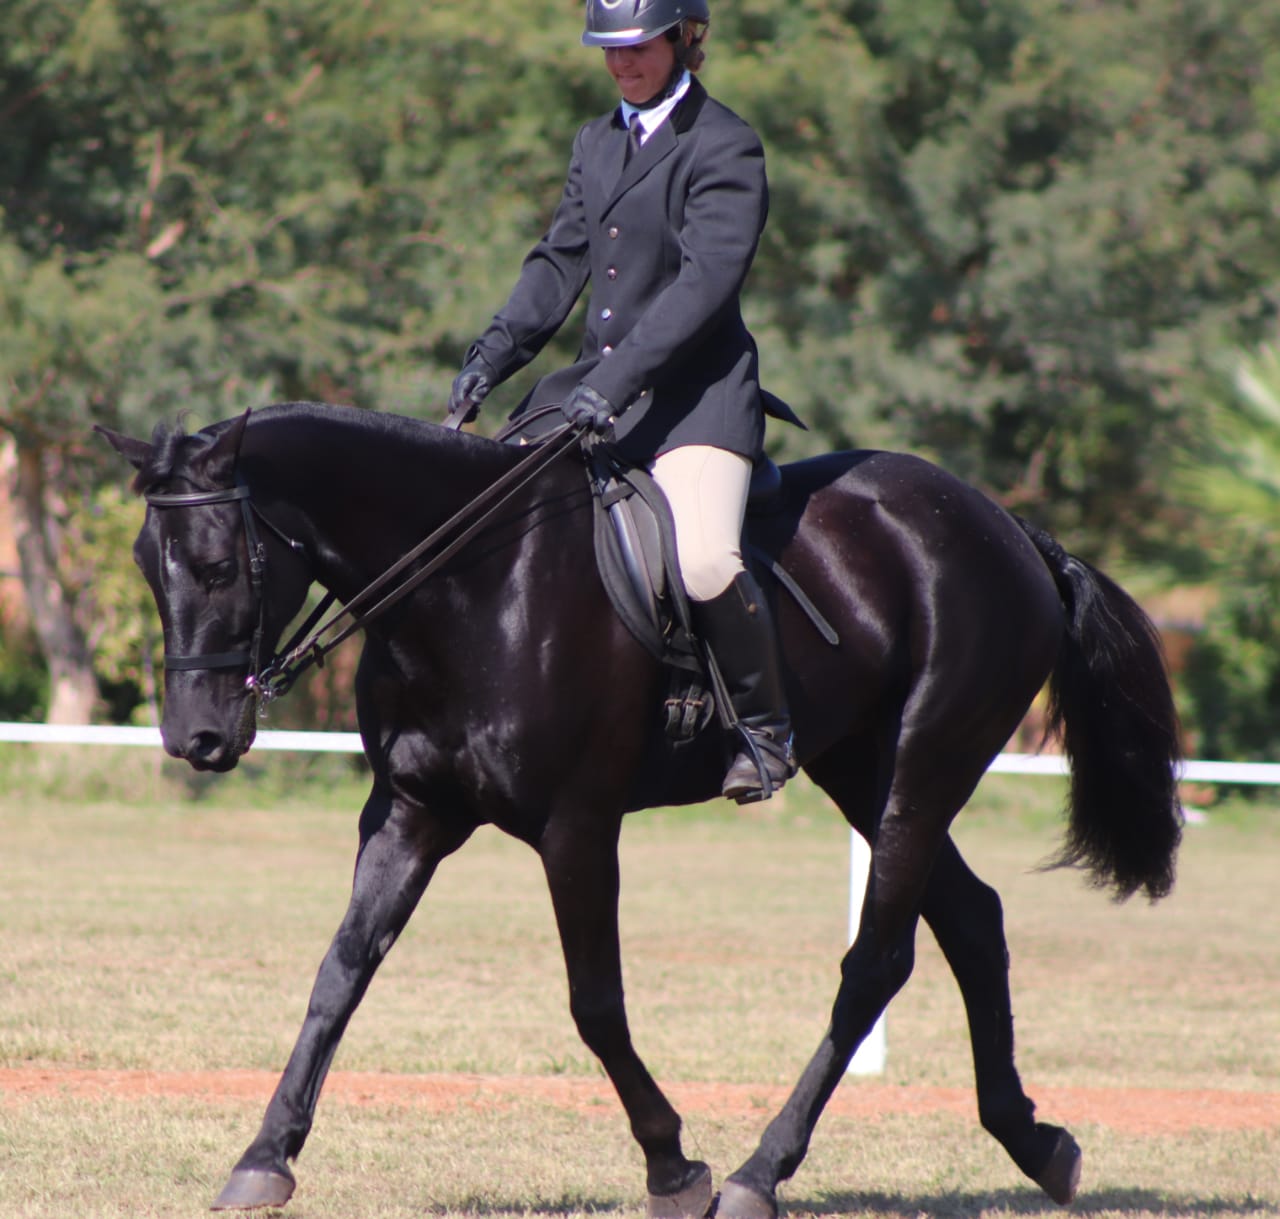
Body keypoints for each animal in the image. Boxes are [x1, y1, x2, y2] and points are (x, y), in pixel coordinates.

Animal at [99, 407, 1177, 1219]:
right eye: (148, 565)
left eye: (216, 565)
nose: (195, 737)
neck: (472, 583)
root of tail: (1005, 527)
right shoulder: (409, 812)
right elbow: (340, 973)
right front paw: (264, 1155)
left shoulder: (577, 825)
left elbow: (595, 1002)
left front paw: (673, 1165)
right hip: (860, 769)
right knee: (969, 918)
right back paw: (1035, 1143)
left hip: (924, 763)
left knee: (878, 956)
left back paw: (756, 1172)